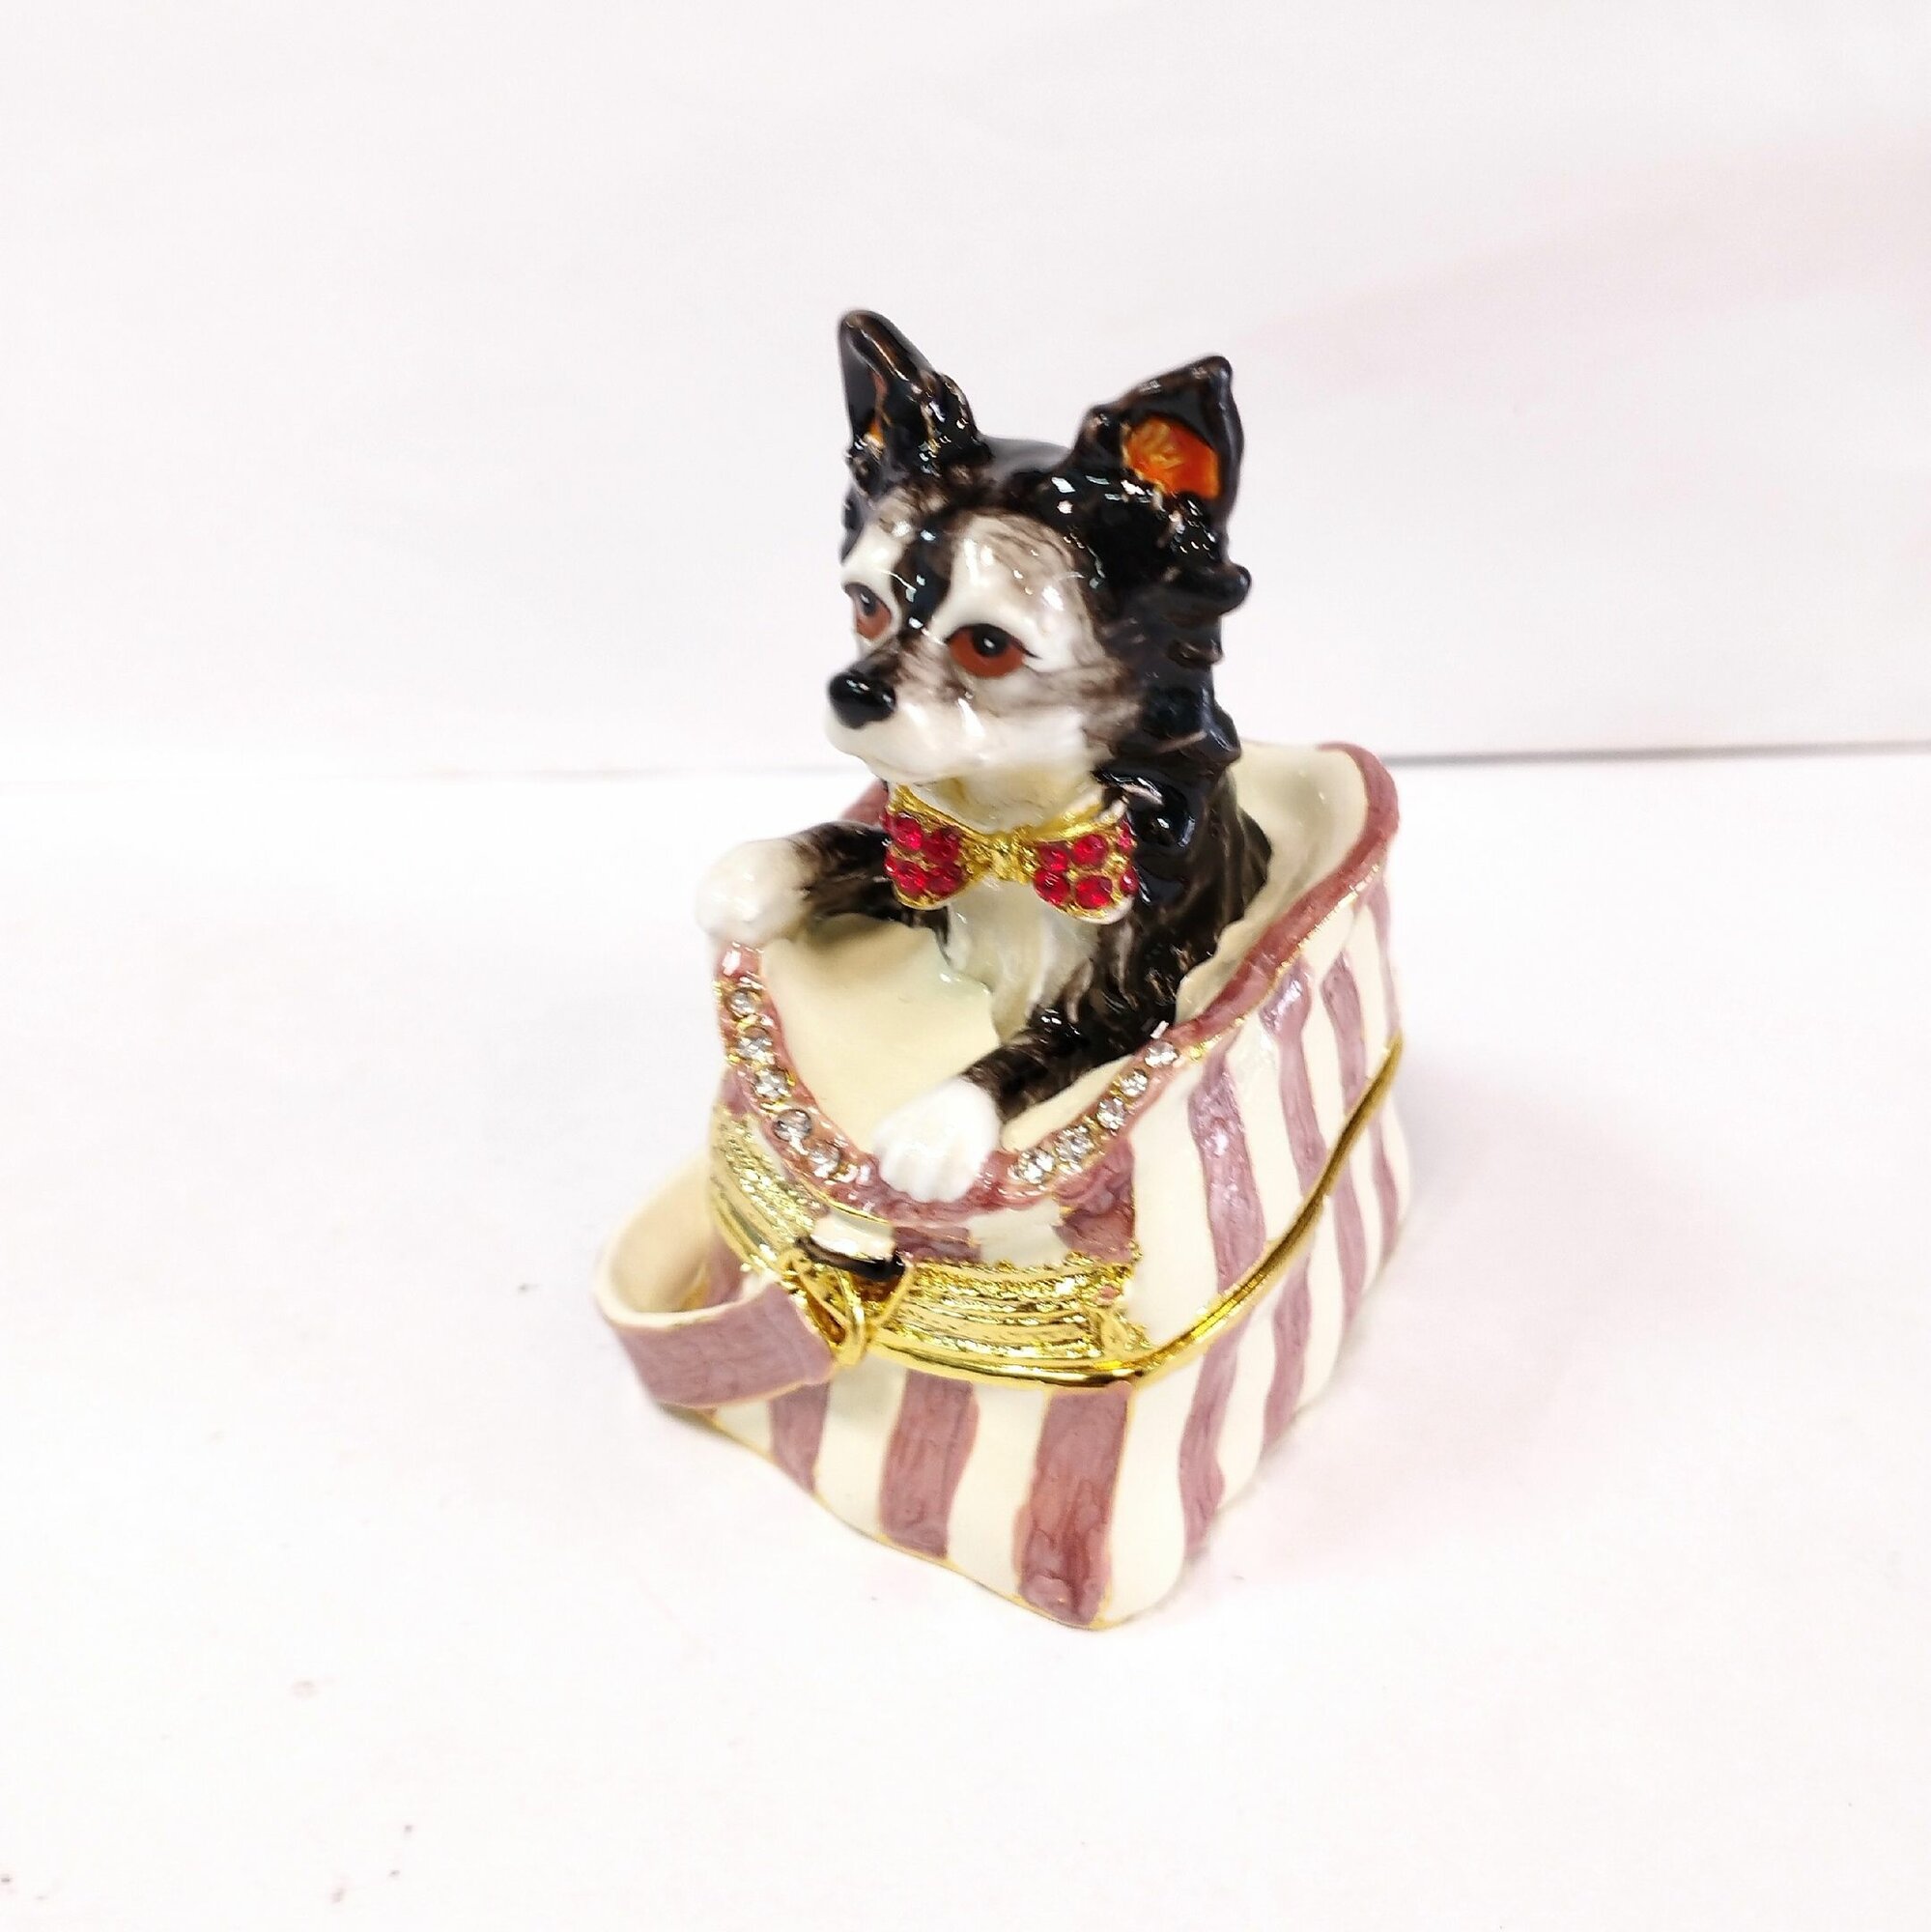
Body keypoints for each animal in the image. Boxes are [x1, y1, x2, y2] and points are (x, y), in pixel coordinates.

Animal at [697, 311, 1271, 1201]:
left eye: (988, 646)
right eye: (865, 607)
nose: (852, 691)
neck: (1007, 828)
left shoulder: (1132, 997)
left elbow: (1034, 1049)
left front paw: (937, 1123)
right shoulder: (918, 875)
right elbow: (852, 843)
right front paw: (751, 875)